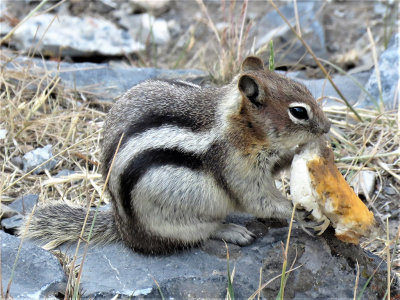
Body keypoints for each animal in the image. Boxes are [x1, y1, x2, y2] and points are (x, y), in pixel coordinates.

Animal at [20, 55, 330, 253]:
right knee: (200, 233)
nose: (327, 128)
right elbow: (258, 200)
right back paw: (232, 231)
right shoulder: (236, 167)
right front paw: (298, 213)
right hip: (177, 219)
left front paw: (301, 154)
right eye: (298, 112)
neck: (239, 126)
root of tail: (124, 231)